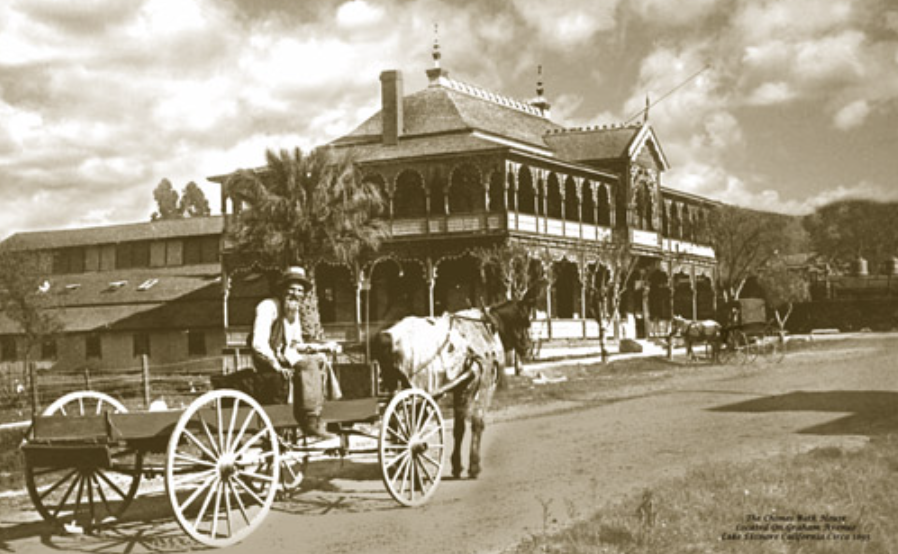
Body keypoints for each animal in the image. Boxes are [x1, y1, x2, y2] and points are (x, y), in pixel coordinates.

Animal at [374, 284, 542, 479]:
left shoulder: (461, 386)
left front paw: (456, 464)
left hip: (395, 389)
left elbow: (459, 428)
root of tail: (388, 337)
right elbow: (477, 423)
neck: (488, 327)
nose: (528, 346)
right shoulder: (484, 384)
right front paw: (474, 465)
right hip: (418, 395)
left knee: (393, 427)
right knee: (407, 432)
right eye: (526, 321)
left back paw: (397, 466)